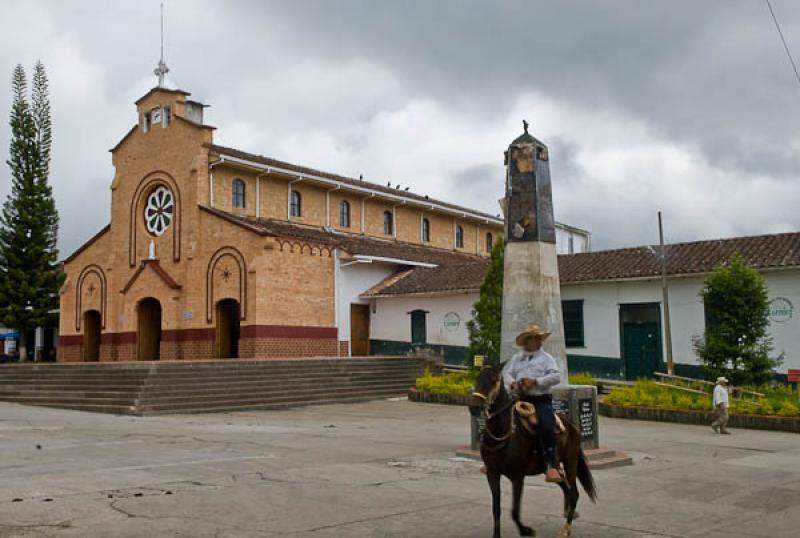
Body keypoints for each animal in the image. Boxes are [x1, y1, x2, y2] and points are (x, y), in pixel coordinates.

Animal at [468, 362, 592, 532]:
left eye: (493, 380)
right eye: (477, 378)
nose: (473, 407)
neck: (503, 431)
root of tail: (572, 425)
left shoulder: (517, 477)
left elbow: (514, 511)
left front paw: (526, 531)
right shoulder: (492, 473)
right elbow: (496, 510)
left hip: (570, 462)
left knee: (573, 493)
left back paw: (565, 530)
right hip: (551, 467)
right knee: (565, 488)